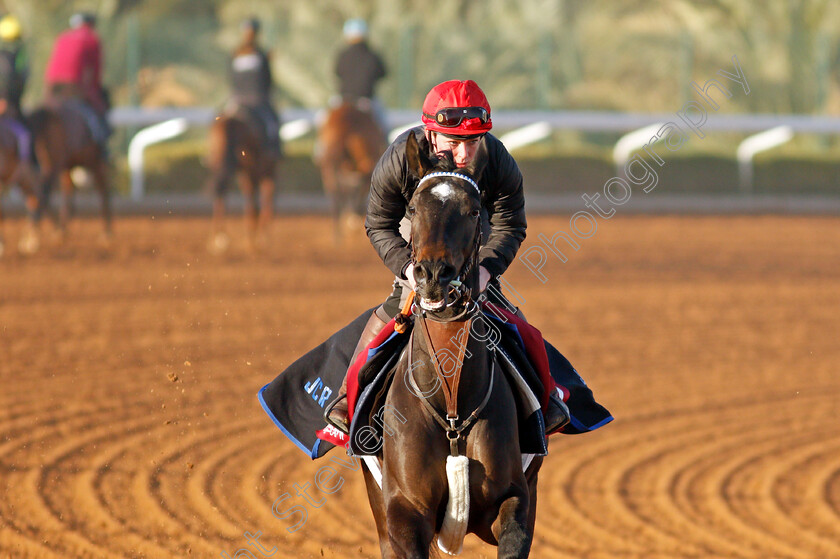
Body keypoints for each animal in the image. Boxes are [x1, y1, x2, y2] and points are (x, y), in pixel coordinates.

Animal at [205, 109, 280, 254]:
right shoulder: (266, 171)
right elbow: (264, 199)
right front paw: (261, 237)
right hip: (252, 169)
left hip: (221, 164)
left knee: (220, 191)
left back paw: (219, 237)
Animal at [360, 132, 540, 559]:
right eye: (412, 207)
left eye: (474, 211)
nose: (433, 275)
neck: (452, 406)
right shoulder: (403, 511)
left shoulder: (516, 499)